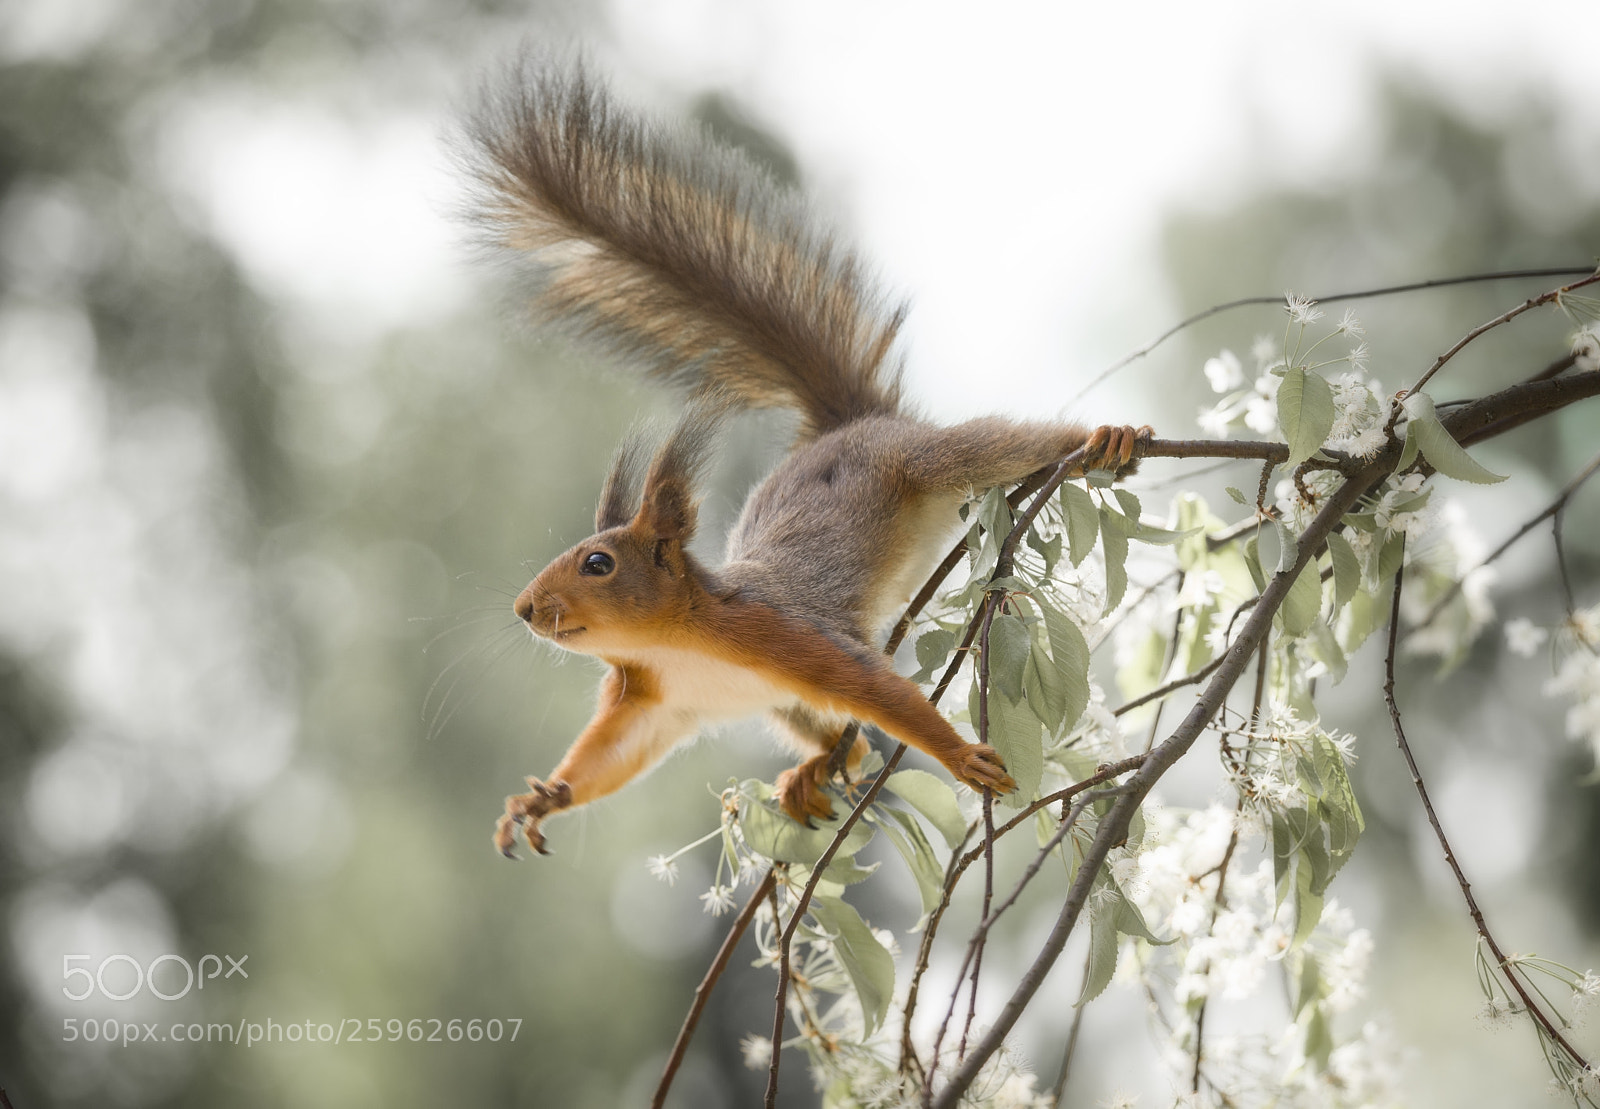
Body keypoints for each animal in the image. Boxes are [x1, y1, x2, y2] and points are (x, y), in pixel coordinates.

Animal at [463, 63, 1150, 858]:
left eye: (598, 563)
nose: (526, 609)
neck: (674, 639)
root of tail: (847, 427)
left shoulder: (786, 635)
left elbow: (876, 692)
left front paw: (959, 756)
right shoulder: (652, 698)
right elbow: (610, 756)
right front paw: (543, 798)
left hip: (925, 461)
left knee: (1001, 445)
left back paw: (1103, 438)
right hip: (784, 705)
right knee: (843, 741)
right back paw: (818, 767)